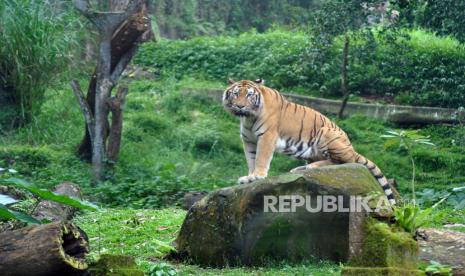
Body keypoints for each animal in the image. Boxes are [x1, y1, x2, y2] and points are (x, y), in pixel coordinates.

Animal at [222, 77, 396, 205]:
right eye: (236, 94)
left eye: (249, 95)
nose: (240, 106)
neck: (248, 118)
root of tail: (352, 148)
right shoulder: (248, 140)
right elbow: (251, 159)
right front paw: (248, 178)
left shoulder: (267, 137)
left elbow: (261, 158)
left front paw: (257, 176)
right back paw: (300, 169)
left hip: (326, 133)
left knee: (344, 161)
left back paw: (312, 167)